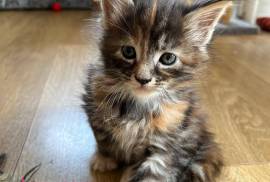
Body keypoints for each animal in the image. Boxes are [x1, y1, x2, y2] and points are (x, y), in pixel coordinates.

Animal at [83, 0, 231, 181]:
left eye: (168, 58)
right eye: (128, 51)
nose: (143, 79)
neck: (138, 106)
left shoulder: (169, 138)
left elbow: (153, 171)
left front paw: (129, 173)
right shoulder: (94, 99)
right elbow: (102, 136)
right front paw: (104, 158)